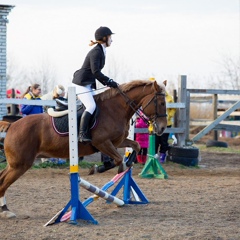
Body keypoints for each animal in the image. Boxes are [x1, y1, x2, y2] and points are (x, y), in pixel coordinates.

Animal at [0, 79, 167, 218]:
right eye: (161, 103)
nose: (162, 128)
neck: (116, 108)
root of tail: (12, 126)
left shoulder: (117, 141)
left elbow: (135, 147)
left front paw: (123, 164)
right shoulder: (102, 143)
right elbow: (119, 159)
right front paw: (107, 168)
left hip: (15, 164)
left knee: (2, 178)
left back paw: (4, 209)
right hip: (20, 164)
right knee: (3, 183)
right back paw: (6, 211)